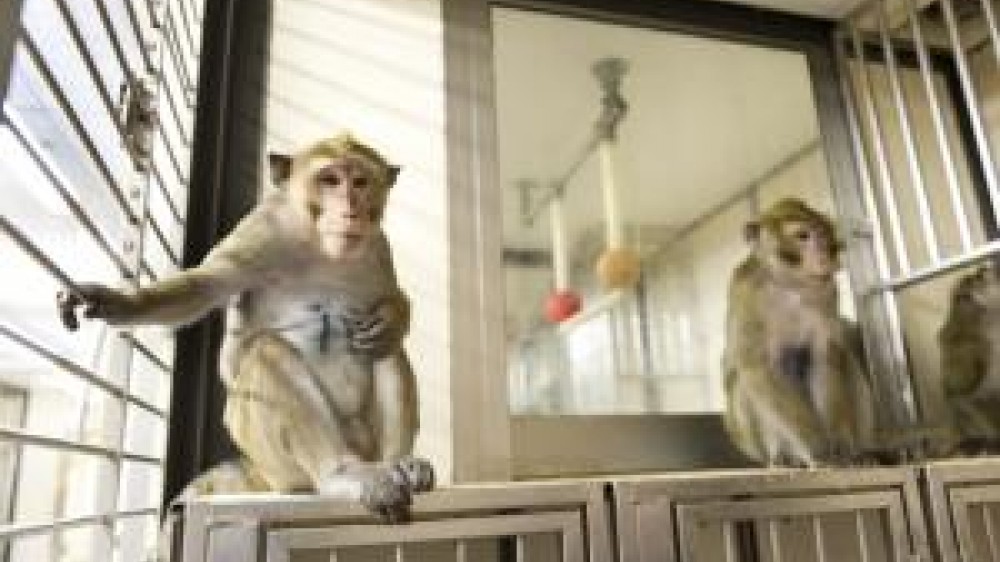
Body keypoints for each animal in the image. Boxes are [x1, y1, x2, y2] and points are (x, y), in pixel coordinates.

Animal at [57, 132, 434, 520]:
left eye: (360, 182)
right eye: (330, 180)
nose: (350, 208)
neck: (320, 244)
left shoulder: (378, 246)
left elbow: (391, 295)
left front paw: (391, 320)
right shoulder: (262, 230)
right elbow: (205, 286)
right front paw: (112, 301)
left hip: (360, 439)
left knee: (387, 352)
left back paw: (401, 462)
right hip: (269, 453)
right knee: (268, 351)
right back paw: (343, 475)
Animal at [724, 199, 872, 466]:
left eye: (825, 234)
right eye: (803, 235)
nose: (826, 253)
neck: (791, 286)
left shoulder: (828, 293)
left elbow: (825, 357)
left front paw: (840, 444)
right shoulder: (745, 295)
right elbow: (757, 367)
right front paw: (818, 448)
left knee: (847, 361)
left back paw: (860, 452)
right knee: (740, 382)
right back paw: (782, 456)